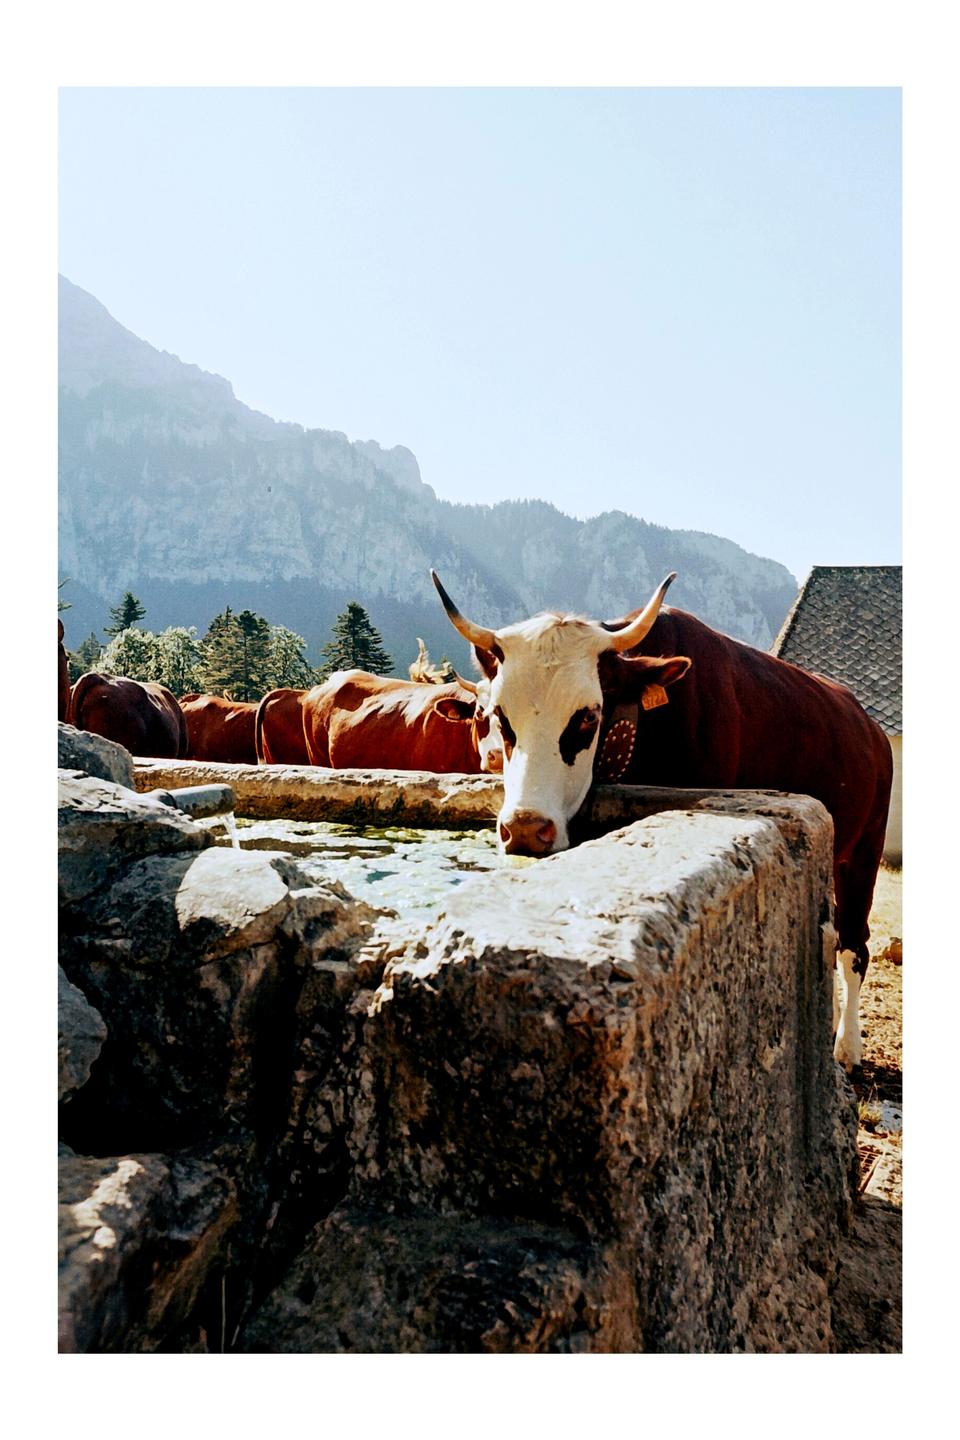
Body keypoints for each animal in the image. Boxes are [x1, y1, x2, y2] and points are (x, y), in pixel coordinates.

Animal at [431, 568, 892, 1073]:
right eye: (499, 716)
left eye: (587, 717)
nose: (527, 829)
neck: (644, 726)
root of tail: (869, 726)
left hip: (863, 851)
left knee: (852, 945)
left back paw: (847, 1045)